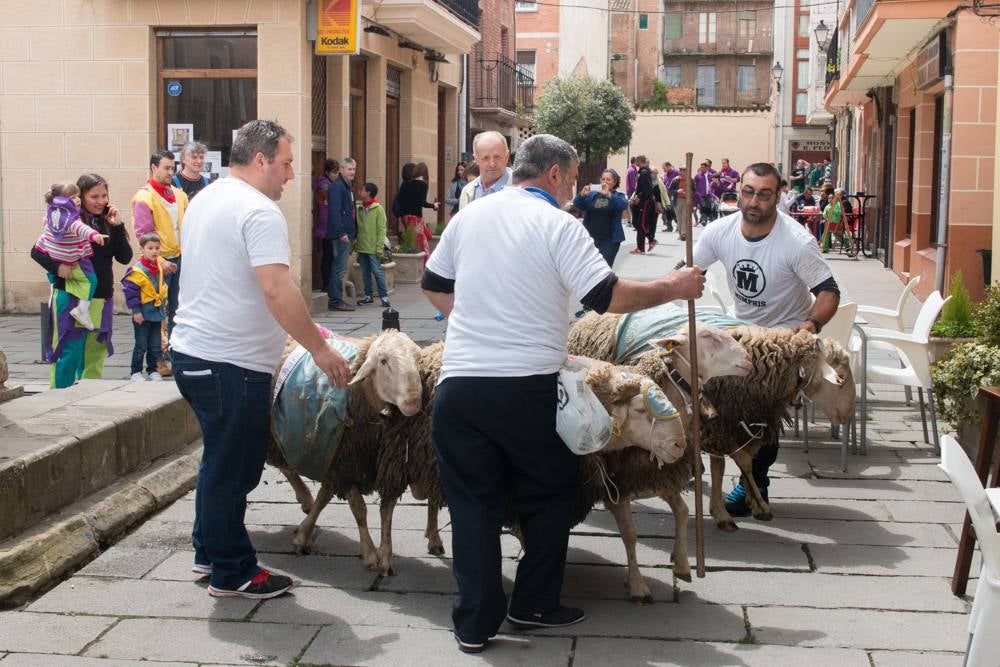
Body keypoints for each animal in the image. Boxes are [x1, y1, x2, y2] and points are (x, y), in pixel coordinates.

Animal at [266, 328, 422, 564]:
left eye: (418, 359)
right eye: (383, 361)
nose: (413, 402)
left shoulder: (347, 460)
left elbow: (382, 508)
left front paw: (304, 534)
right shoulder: (345, 462)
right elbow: (359, 508)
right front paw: (369, 553)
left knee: (287, 467)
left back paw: (305, 498)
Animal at [568, 306, 856, 532]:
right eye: (841, 377)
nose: (846, 415)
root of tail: (587, 316)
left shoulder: (727, 422)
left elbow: (731, 464)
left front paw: (737, 506)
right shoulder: (720, 424)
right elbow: (736, 462)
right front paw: (748, 507)